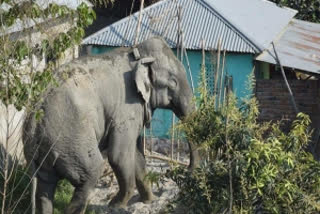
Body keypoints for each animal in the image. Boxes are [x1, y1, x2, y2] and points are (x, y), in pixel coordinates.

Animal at [23, 37, 200, 213]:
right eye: (173, 83)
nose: (188, 170)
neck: (135, 53)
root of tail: (33, 124)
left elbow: (136, 154)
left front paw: (150, 201)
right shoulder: (127, 107)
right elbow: (119, 155)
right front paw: (115, 205)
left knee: (44, 189)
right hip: (71, 144)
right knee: (92, 172)